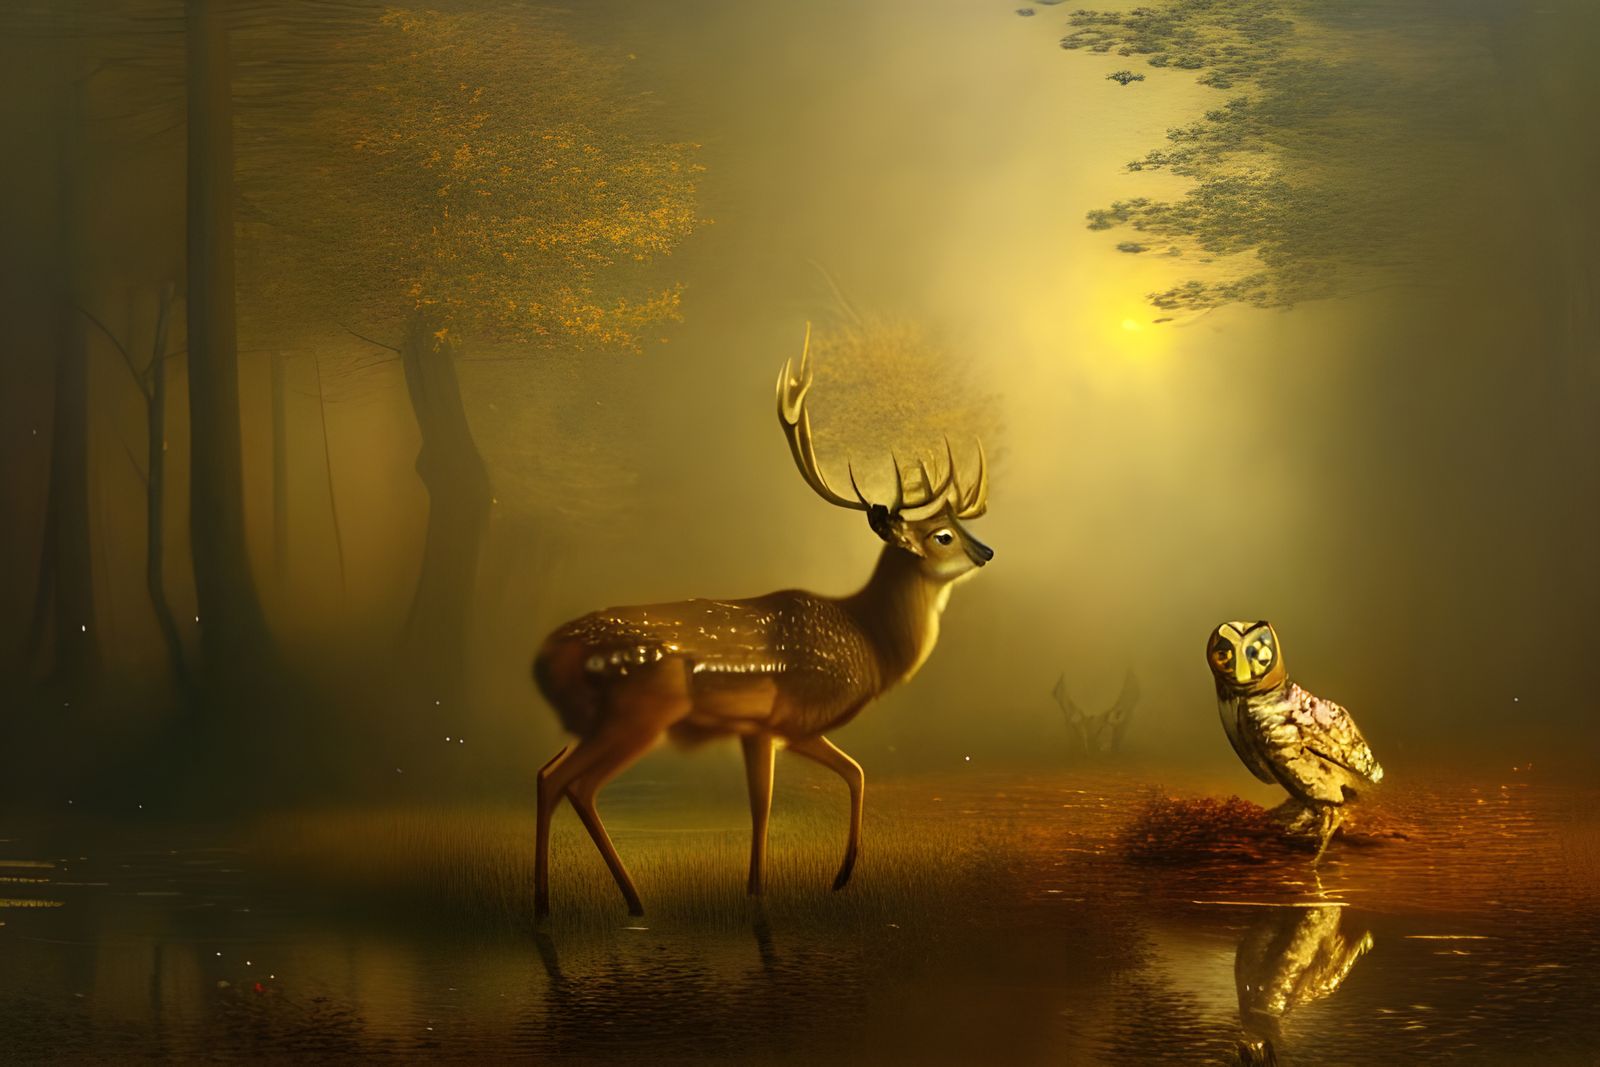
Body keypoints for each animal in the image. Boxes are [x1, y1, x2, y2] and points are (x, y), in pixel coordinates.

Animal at [530, 325, 993, 917]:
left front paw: (790, 883)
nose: (987, 551)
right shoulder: (791, 717)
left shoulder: (756, 729)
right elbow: (820, 786)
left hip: (591, 719)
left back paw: (587, 900)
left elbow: (802, 789)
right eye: (942, 536)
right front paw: (810, 881)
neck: (869, 642)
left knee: (547, 773)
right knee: (573, 784)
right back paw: (599, 903)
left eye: (960, 525)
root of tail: (545, 657)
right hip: (638, 712)